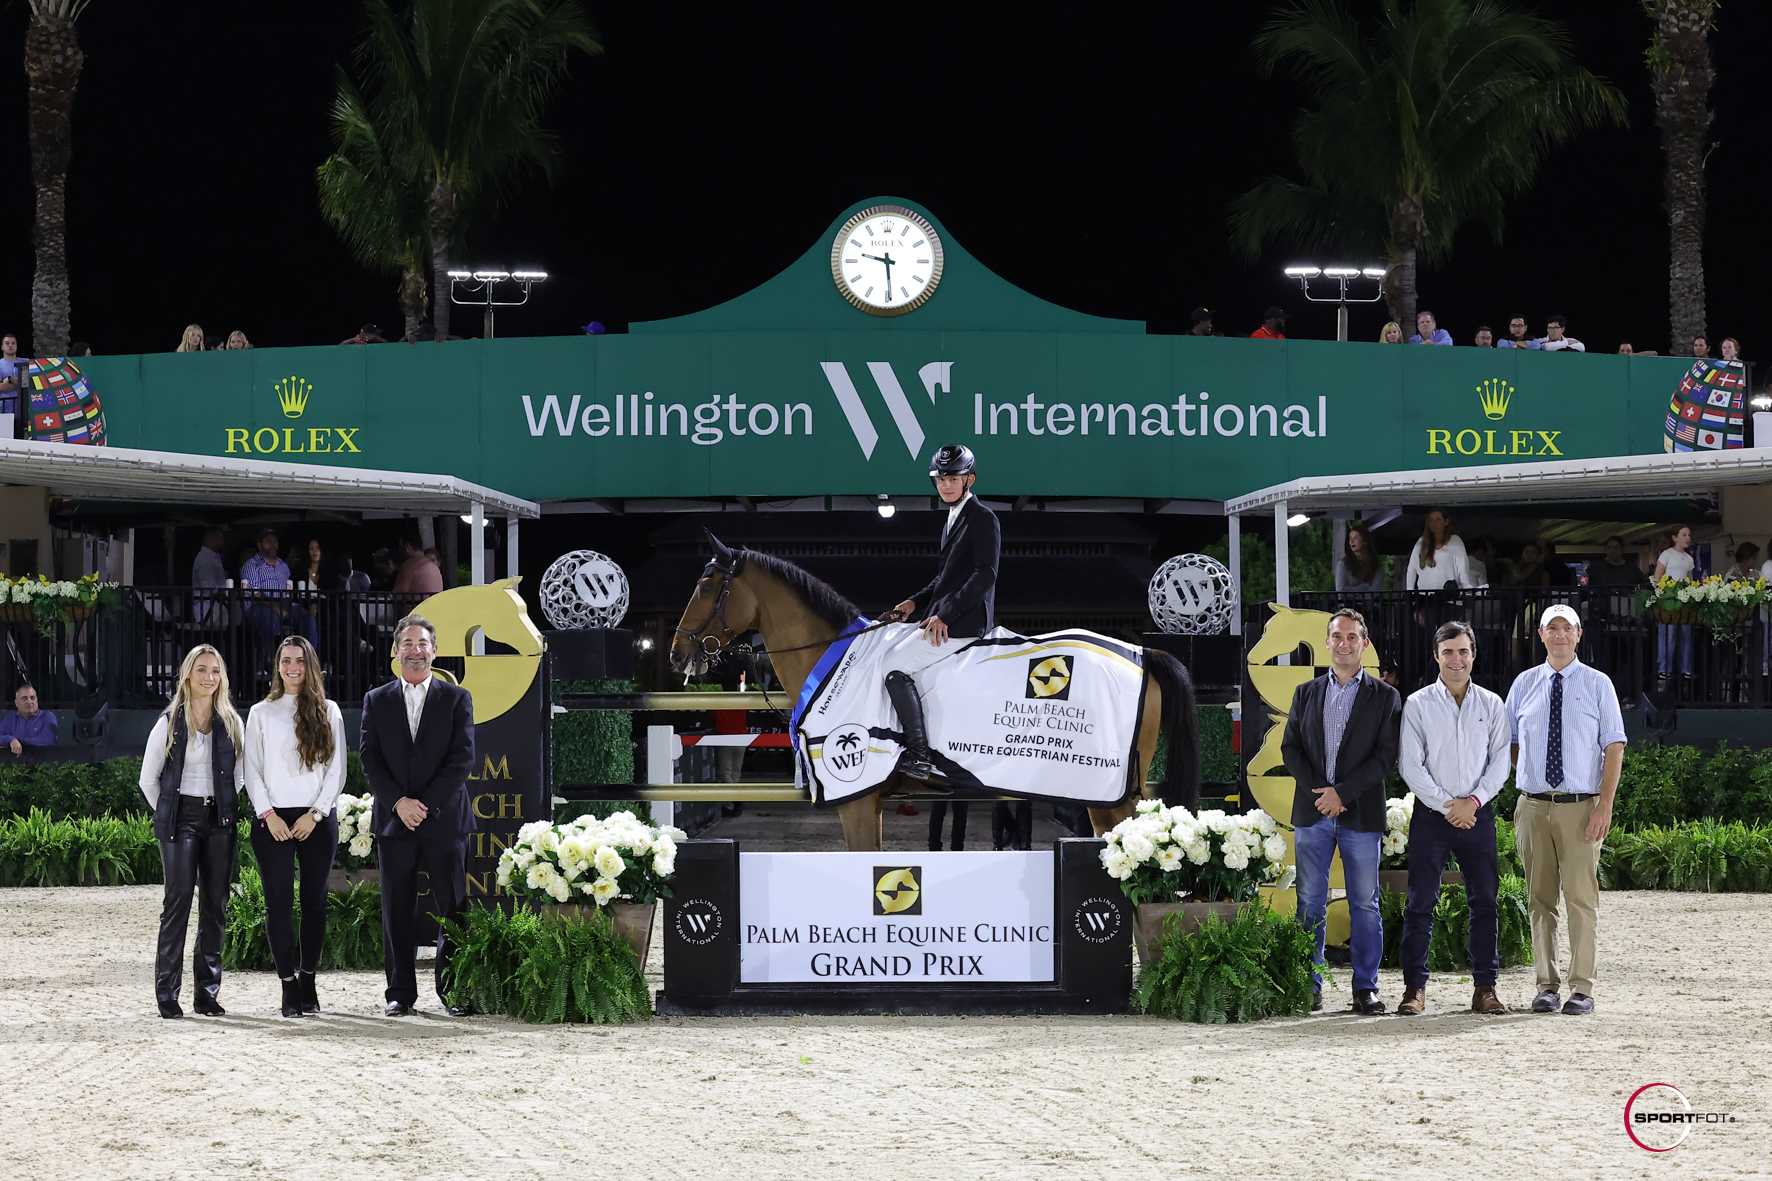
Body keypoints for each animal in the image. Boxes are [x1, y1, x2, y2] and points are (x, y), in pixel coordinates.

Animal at [666, 524, 1204, 847]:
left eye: (708, 586)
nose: (677, 653)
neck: (832, 656)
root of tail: (1143, 654)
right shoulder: (872, 801)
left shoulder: (855, 795)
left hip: (1108, 796)